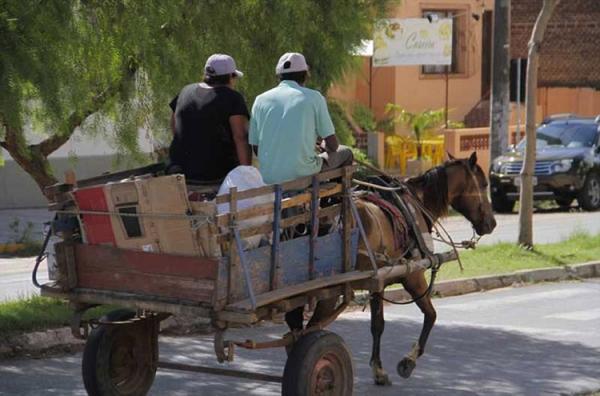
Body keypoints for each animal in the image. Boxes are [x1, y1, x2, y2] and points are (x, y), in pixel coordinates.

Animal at [356, 151, 496, 384]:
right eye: (484, 184)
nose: (492, 223)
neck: (416, 204)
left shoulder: (378, 284)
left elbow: (377, 325)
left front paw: (378, 369)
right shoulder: (413, 277)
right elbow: (431, 315)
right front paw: (408, 361)